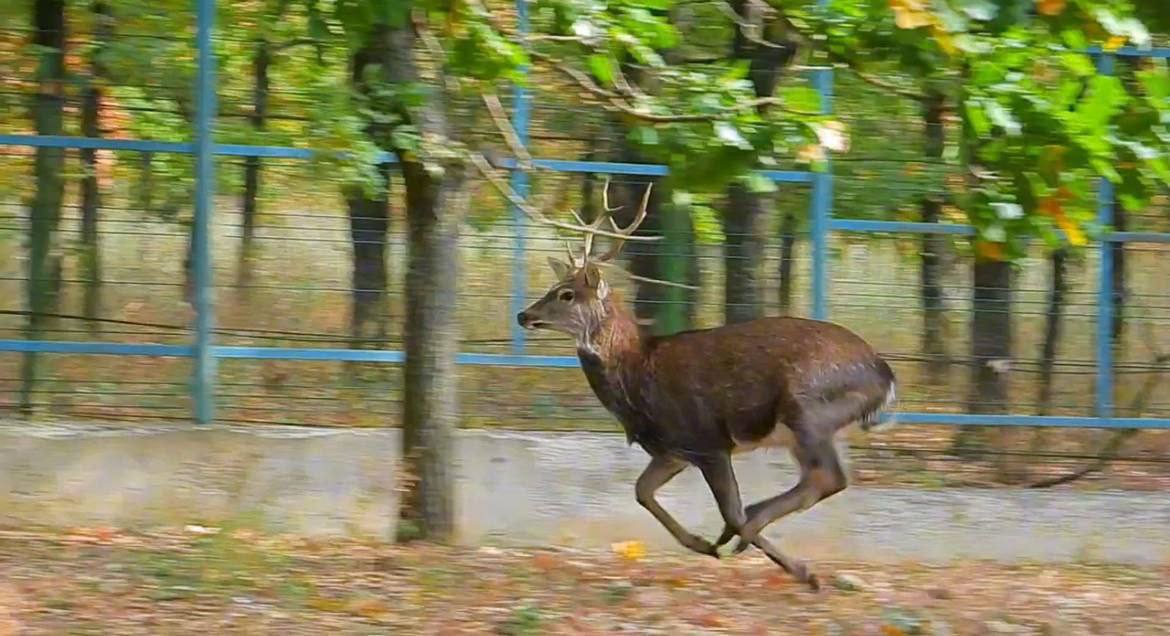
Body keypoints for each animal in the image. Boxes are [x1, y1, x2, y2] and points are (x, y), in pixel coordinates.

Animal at [512, 176, 893, 589]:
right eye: (554, 287)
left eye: (566, 294)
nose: (523, 315)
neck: (637, 374)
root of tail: (885, 374)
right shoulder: (672, 449)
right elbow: (641, 491)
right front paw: (702, 544)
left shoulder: (708, 440)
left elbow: (729, 510)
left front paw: (770, 558)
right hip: (808, 424)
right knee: (820, 478)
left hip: (808, 407)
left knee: (826, 478)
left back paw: (774, 549)